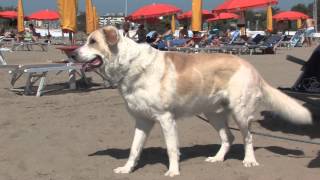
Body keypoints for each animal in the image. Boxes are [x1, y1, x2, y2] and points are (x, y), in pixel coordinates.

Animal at [73, 26, 312, 176]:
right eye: (86, 40)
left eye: (93, 41)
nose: (72, 54)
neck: (130, 64)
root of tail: (250, 65)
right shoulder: (142, 121)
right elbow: (134, 149)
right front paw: (127, 169)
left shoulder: (166, 119)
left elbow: (171, 149)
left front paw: (173, 171)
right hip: (213, 114)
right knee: (229, 137)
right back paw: (217, 158)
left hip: (241, 113)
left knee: (248, 138)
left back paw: (249, 160)